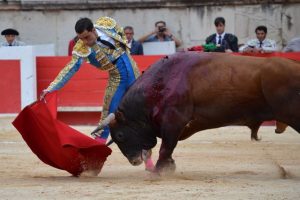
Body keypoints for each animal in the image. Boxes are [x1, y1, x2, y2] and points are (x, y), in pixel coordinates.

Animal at [104, 52, 298, 173]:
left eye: (120, 135)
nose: (134, 161)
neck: (158, 87)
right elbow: (168, 148)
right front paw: (168, 166)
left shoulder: (173, 121)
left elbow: (166, 147)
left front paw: (160, 171)